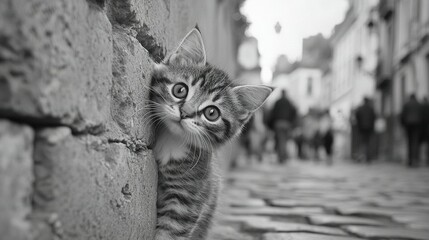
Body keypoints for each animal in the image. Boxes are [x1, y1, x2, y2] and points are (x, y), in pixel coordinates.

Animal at [150, 27, 270, 239]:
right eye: (180, 90)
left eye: (211, 113)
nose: (185, 112)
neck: (172, 140)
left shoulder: (187, 201)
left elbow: (169, 234)